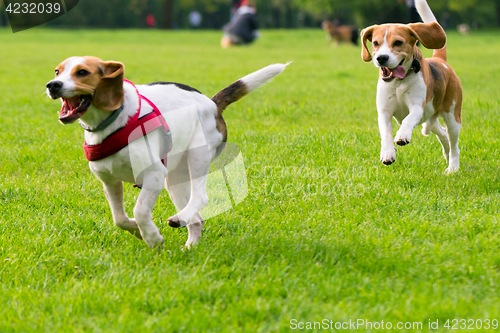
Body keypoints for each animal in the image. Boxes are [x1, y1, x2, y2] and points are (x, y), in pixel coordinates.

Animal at [47, 56, 290, 249]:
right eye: (57, 71)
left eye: (82, 72)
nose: (52, 85)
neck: (113, 122)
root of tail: (212, 103)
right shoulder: (109, 181)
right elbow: (119, 218)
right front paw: (137, 230)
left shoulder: (153, 175)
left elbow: (140, 211)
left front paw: (152, 237)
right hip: (174, 179)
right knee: (197, 219)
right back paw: (189, 244)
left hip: (197, 156)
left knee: (200, 196)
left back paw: (180, 219)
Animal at [362, 0, 462, 172]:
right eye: (375, 43)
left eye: (398, 42)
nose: (382, 58)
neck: (398, 83)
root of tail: (440, 61)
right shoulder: (384, 112)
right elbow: (385, 133)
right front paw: (388, 153)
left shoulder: (416, 107)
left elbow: (408, 120)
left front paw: (402, 135)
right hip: (430, 118)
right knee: (443, 135)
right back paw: (447, 155)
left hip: (452, 117)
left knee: (454, 144)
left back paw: (452, 168)